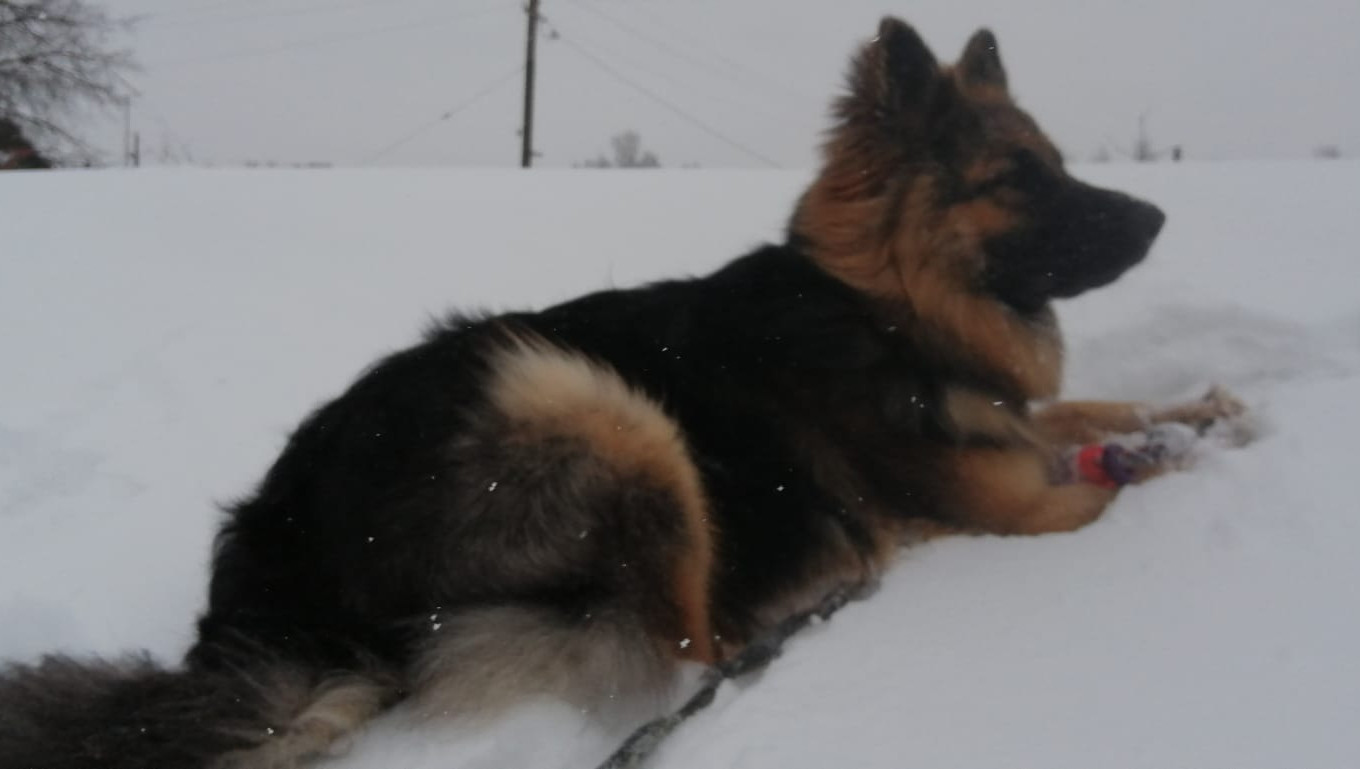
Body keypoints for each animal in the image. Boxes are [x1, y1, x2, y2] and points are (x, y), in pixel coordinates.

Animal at [0, 18, 1245, 767]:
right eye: (1016, 179)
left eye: (1058, 162)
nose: (1158, 216)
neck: (885, 310)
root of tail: (279, 559)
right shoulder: (1019, 509)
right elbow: (1107, 477)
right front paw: (1199, 455)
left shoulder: (1012, 424)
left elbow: (1100, 413)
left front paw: (1206, 405)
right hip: (588, 401)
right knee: (696, 636)